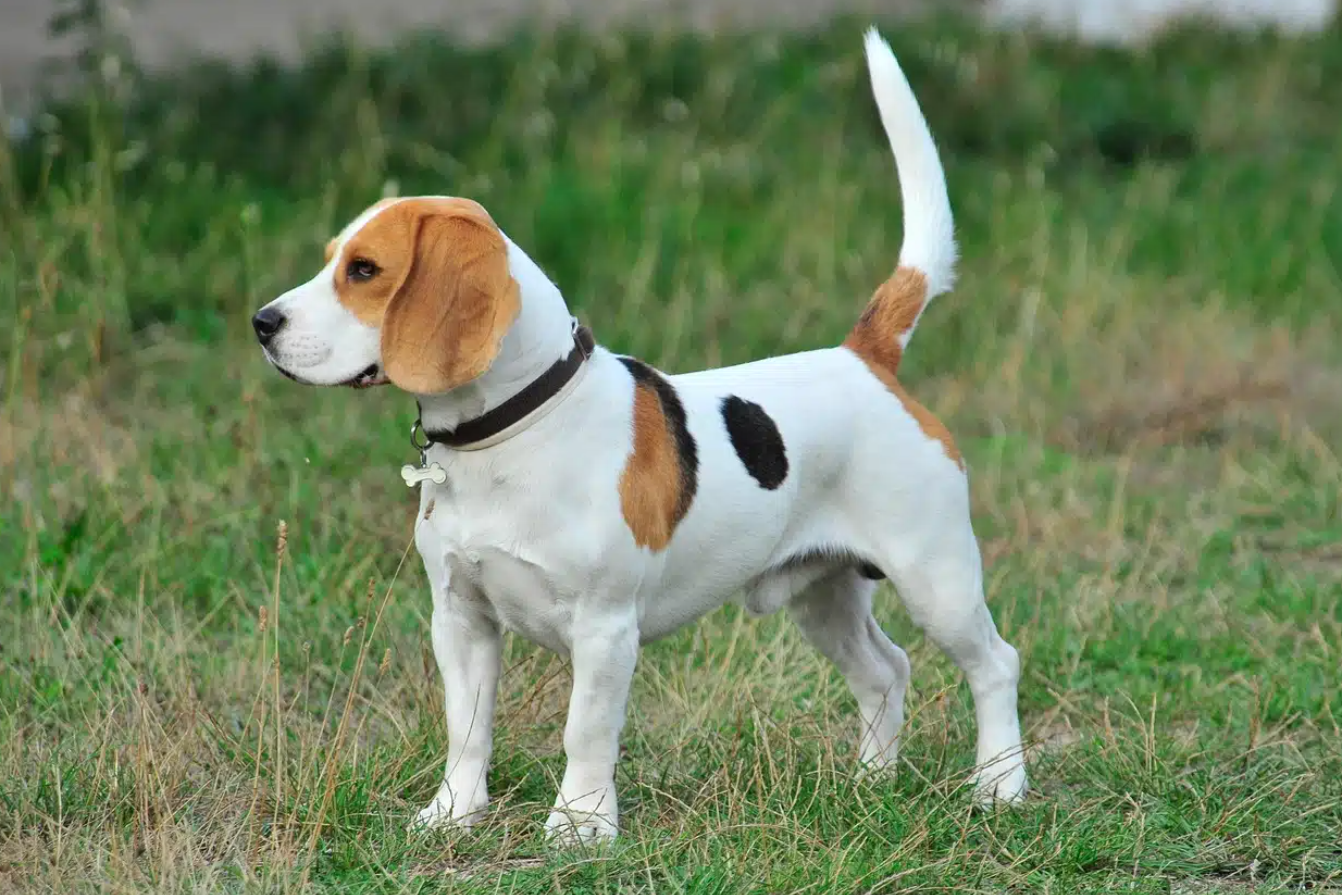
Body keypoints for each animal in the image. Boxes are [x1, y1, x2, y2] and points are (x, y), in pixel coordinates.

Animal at [252, 28, 1025, 842]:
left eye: (365, 270)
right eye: (332, 260)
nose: (262, 322)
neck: (512, 434)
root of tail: (865, 356)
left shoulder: (604, 628)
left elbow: (585, 731)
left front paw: (580, 825)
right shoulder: (459, 617)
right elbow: (467, 727)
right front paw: (453, 813)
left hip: (935, 577)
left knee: (995, 664)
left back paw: (999, 788)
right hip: (824, 594)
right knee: (887, 671)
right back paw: (870, 783)